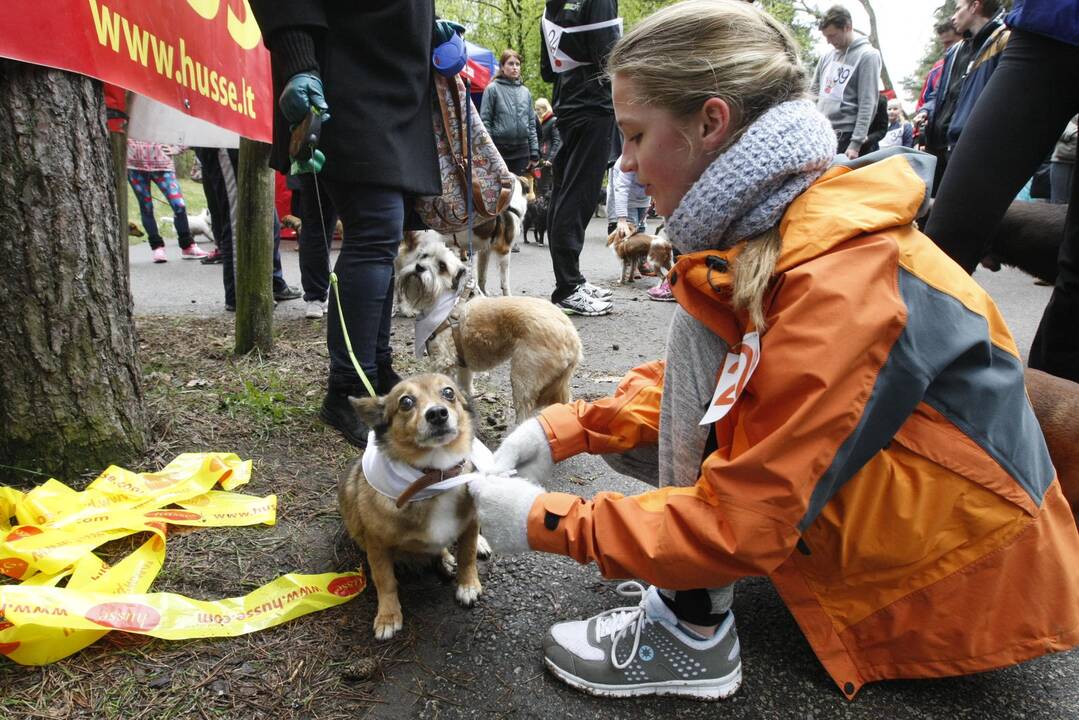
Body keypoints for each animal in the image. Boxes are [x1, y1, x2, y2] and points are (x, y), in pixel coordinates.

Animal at [338, 375, 492, 639]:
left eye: (449, 393)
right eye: (406, 402)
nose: (437, 413)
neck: (436, 476)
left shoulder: (470, 524)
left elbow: (467, 555)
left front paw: (468, 585)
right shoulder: (377, 546)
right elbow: (385, 581)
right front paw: (388, 616)